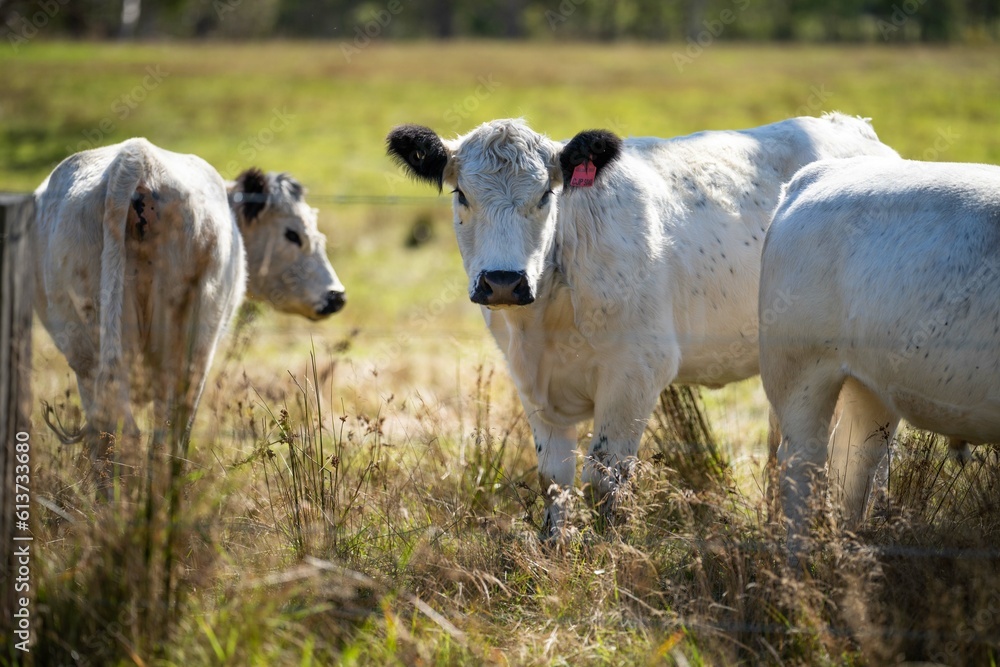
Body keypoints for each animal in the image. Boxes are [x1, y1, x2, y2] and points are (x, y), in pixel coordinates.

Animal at [32, 137, 346, 490]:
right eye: (293, 234)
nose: (336, 296)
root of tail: (136, 158)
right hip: (191, 338)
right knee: (168, 429)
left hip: (87, 341)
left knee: (115, 429)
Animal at [386, 114, 899, 537]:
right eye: (461, 194)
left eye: (545, 195)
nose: (503, 282)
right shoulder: (531, 383)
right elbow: (555, 480)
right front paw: (555, 554)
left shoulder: (636, 373)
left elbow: (603, 478)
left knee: (867, 457)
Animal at [759, 156, 1000, 559]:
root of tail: (820, 172)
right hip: (799, 374)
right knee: (802, 472)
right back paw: (799, 571)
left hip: (869, 388)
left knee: (852, 468)